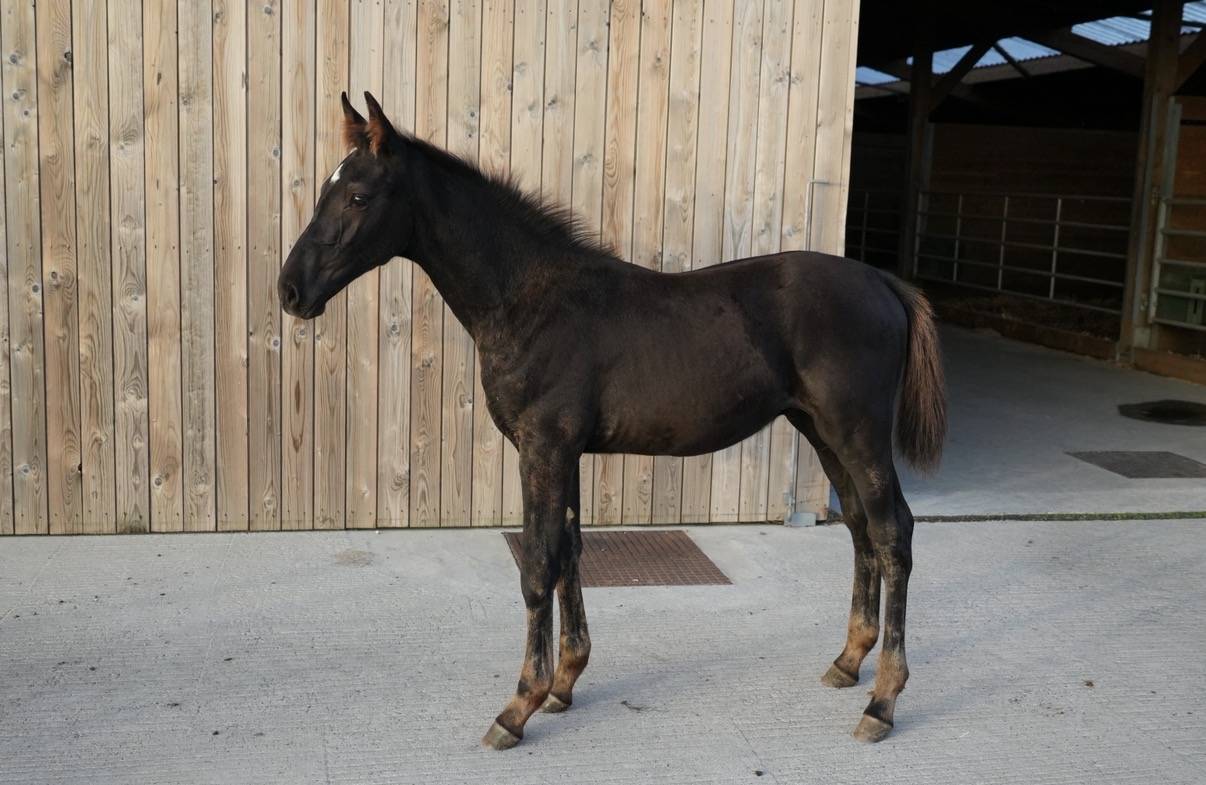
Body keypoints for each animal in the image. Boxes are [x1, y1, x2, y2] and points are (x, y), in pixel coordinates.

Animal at [278, 92, 946, 749]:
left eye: (358, 195)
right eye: (327, 188)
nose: (289, 290)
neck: (530, 300)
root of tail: (884, 282)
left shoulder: (542, 446)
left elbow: (538, 564)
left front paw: (518, 706)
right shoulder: (565, 451)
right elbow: (571, 551)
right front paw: (564, 683)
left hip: (857, 433)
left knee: (894, 533)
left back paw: (882, 702)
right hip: (821, 432)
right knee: (860, 527)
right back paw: (847, 662)